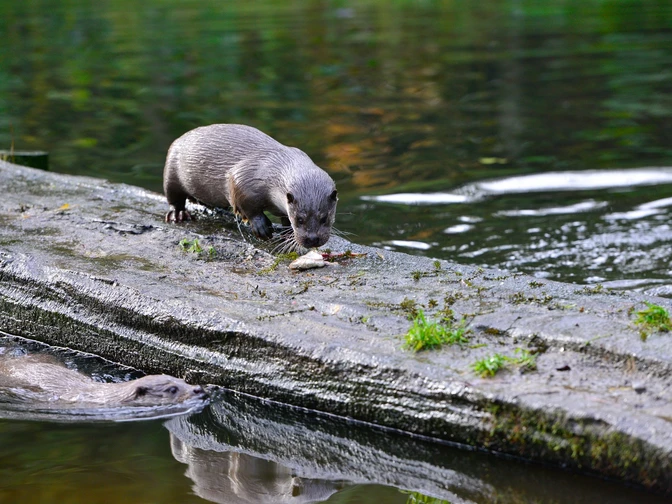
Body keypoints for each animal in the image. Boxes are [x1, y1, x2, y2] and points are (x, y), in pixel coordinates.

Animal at [163, 124, 338, 249]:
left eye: (324, 218)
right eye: (300, 219)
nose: (312, 239)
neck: (273, 172)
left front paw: (287, 233)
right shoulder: (243, 177)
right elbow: (246, 205)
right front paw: (262, 227)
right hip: (172, 169)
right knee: (173, 197)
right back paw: (178, 214)